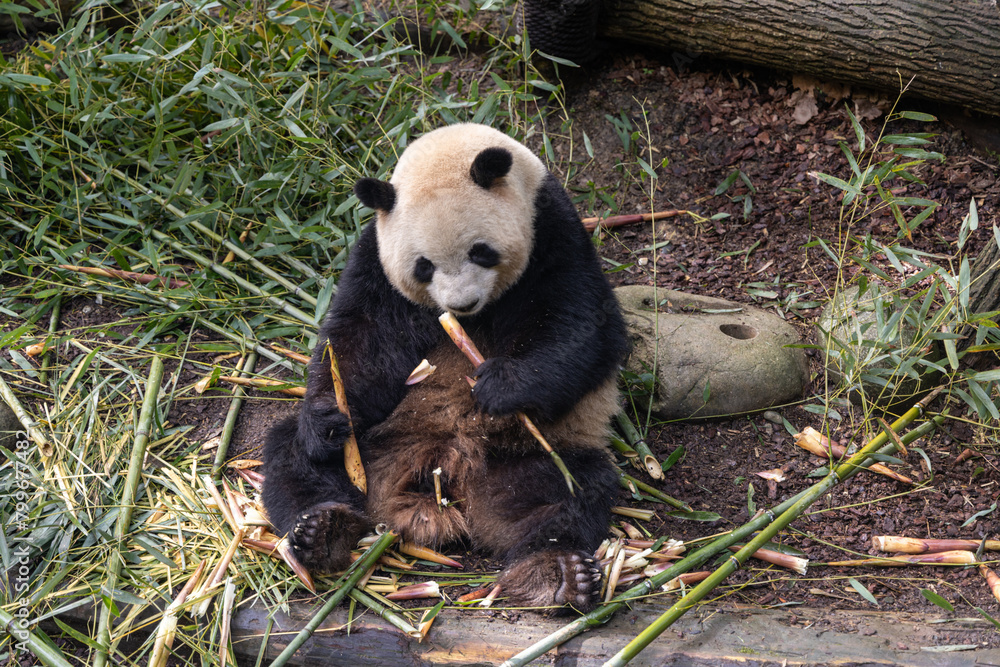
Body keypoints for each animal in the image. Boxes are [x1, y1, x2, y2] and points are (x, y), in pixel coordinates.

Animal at [262, 123, 628, 612]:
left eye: (481, 251)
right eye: (423, 266)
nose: (462, 304)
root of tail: (441, 478)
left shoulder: (554, 230)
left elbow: (582, 325)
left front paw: (500, 386)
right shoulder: (375, 257)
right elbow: (360, 338)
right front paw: (329, 415)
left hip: (525, 452)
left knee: (566, 492)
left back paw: (557, 573)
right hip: (377, 446)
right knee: (295, 457)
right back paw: (323, 530)